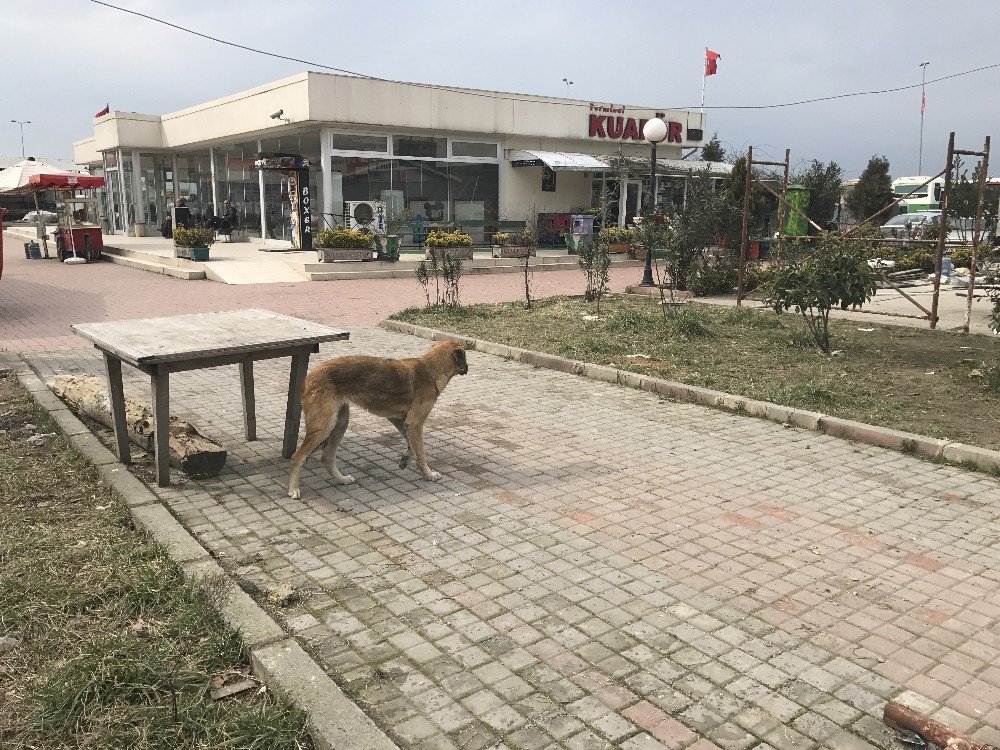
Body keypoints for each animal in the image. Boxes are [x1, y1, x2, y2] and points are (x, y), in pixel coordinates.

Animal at [286, 340, 464, 500]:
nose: (467, 367)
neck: (430, 369)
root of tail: (308, 378)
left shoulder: (400, 421)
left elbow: (411, 446)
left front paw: (406, 460)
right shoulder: (415, 424)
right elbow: (421, 453)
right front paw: (428, 474)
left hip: (340, 423)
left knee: (327, 457)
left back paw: (342, 479)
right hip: (324, 427)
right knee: (297, 457)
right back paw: (293, 489)